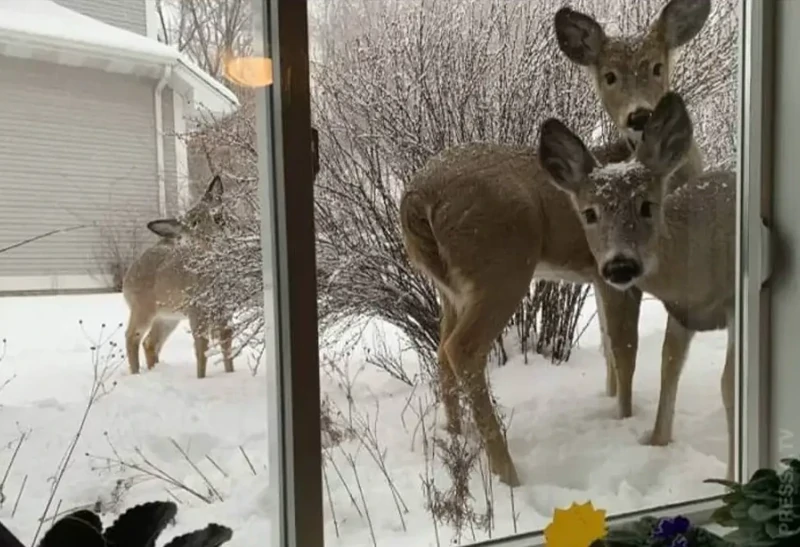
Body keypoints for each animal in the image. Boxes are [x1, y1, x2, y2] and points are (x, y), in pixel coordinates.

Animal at [122, 176, 234, 382]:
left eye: (218, 215)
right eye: (194, 223)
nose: (214, 232)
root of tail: (129, 273)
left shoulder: (225, 310)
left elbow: (227, 346)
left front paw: (231, 374)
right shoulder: (197, 310)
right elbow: (201, 350)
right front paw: (201, 380)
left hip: (168, 316)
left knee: (150, 342)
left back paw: (155, 371)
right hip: (142, 307)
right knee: (132, 336)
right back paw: (136, 374)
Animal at [536, 92, 736, 482]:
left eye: (647, 205)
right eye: (589, 213)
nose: (620, 265)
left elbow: (729, 385)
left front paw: (735, 477)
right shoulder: (682, 312)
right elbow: (668, 367)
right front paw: (656, 441)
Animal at [556, 0, 712, 412]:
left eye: (657, 66)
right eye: (609, 76)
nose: (640, 115)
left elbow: (669, 356)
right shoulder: (618, 278)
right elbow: (626, 353)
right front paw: (624, 417)